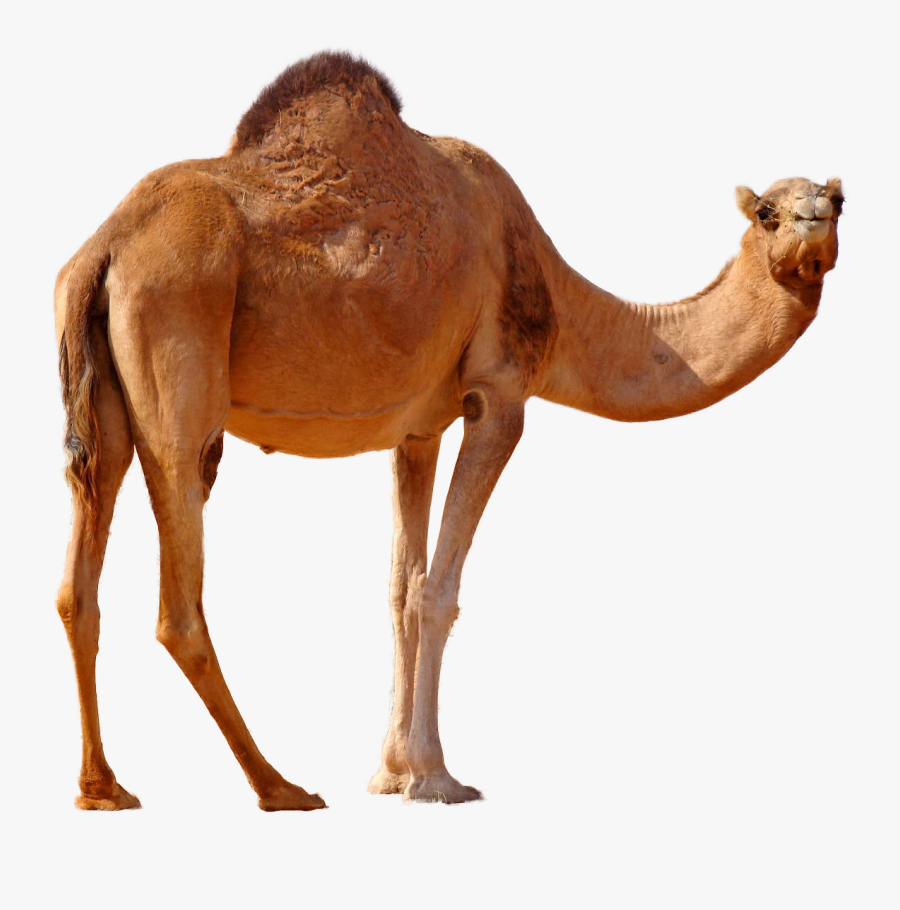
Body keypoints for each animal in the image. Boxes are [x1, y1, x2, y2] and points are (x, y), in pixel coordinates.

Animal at [55, 51, 843, 810]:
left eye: (838, 201)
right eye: (767, 211)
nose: (812, 223)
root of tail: (104, 248)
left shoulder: (418, 430)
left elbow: (400, 587)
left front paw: (391, 772)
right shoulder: (498, 395)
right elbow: (438, 590)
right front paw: (435, 779)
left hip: (104, 403)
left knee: (78, 582)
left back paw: (104, 789)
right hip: (179, 349)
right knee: (178, 598)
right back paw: (280, 788)